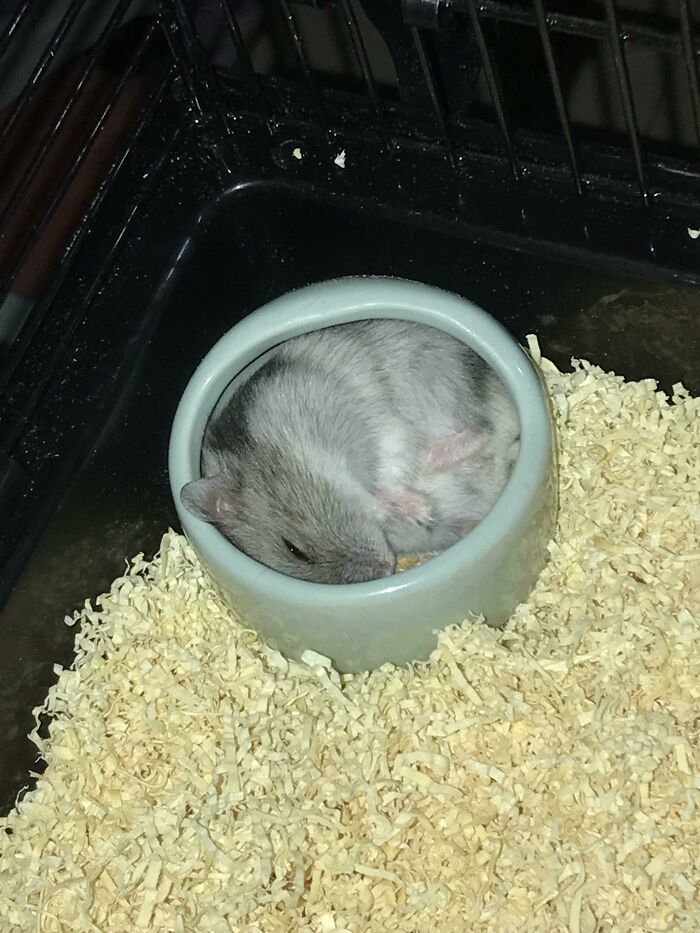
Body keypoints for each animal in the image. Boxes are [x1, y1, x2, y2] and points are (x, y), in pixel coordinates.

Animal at [180, 319, 520, 584]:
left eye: (294, 549)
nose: (387, 568)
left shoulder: (379, 428)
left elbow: (393, 472)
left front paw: (420, 508)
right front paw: (420, 511)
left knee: (484, 431)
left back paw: (440, 459)